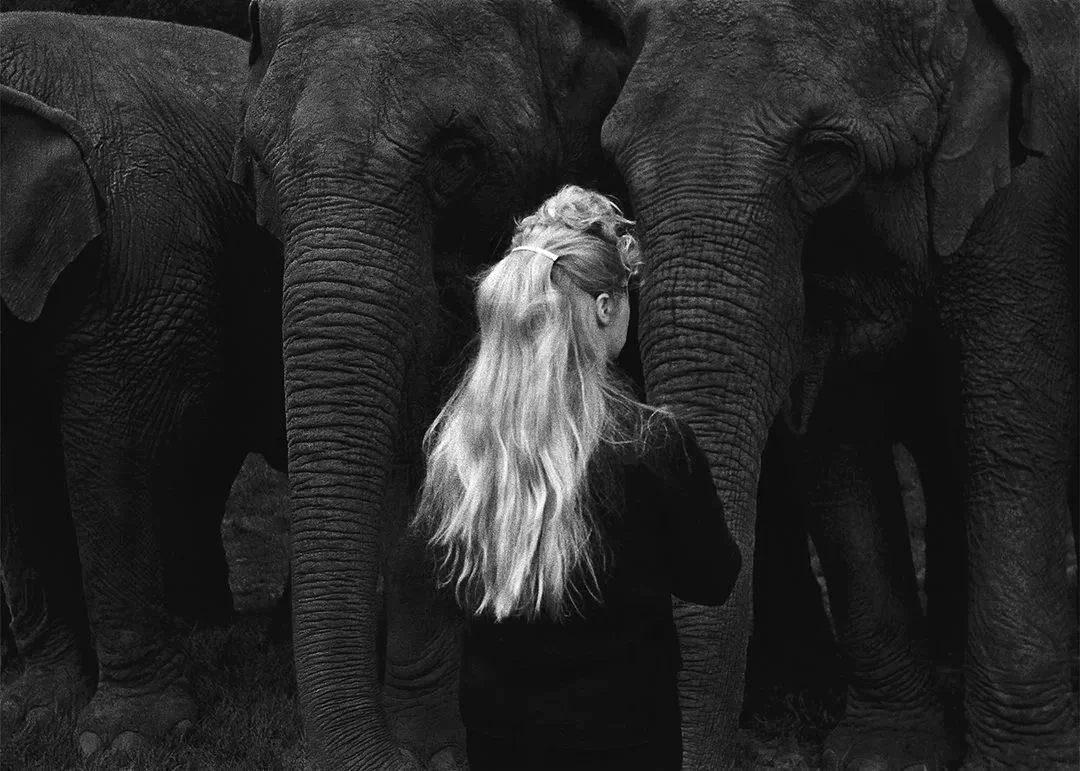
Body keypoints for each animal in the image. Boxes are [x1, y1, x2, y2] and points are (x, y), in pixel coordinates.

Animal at [601, 0, 1077, 768]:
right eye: (614, 159)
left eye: (824, 156)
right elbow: (832, 437)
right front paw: (889, 753)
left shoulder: (1034, 188)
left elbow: (1013, 421)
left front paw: (1023, 765)